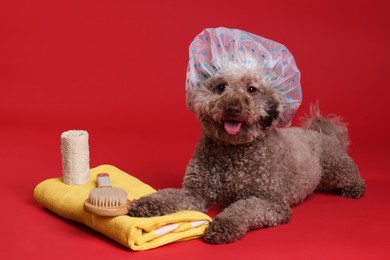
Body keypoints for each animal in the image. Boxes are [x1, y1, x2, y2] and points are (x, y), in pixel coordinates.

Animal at [129, 64, 366, 244]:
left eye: (251, 89)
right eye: (220, 87)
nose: (233, 107)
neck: (231, 152)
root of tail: (318, 131)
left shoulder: (270, 203)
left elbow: (242, 209)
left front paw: (224, 225)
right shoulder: (195, 193)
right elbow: (168, 196)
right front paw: (145, 204)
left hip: (335, 168)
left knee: (353, 177)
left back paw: (355, 189)